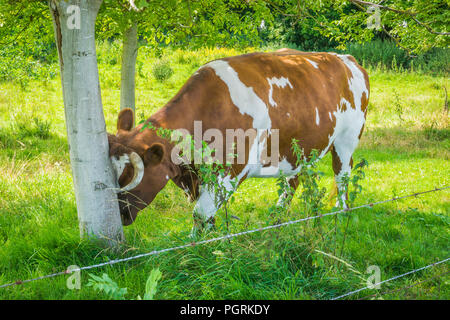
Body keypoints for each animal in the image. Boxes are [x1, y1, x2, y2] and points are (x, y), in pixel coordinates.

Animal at [108, 48, 370, 232]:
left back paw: (339, 213)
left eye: (130, 178)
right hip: (299, 145)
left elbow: (200, 215)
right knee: (294, 179)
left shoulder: (231, 171)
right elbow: (208, 217)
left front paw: (198, 250)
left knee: (342, 175)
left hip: (346, 140)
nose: (120, 215)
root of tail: (347, 59)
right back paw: (277, 217)